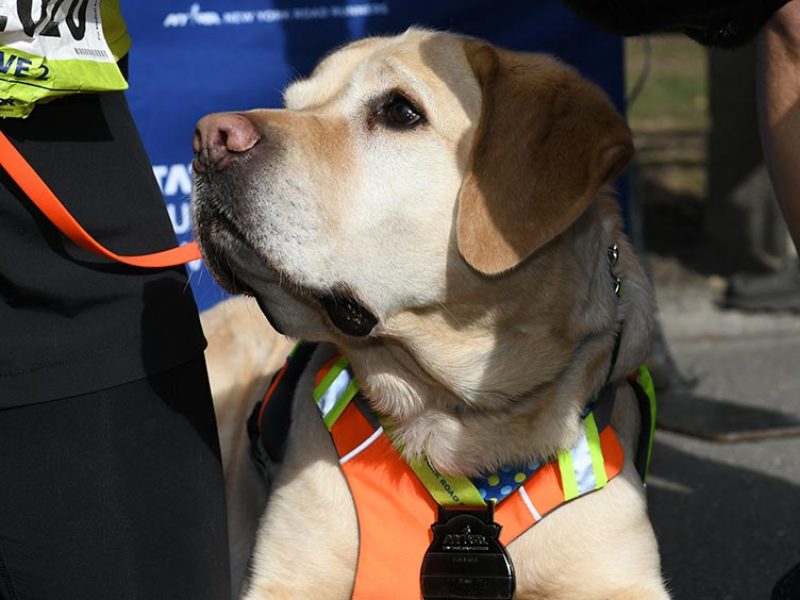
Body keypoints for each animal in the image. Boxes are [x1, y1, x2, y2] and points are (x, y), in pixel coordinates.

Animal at [194, 25, 668, 596]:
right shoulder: (288, 575)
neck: (453, 418)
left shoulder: (619, 573)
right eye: (294, 104)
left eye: (401, 111)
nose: (209, 139)